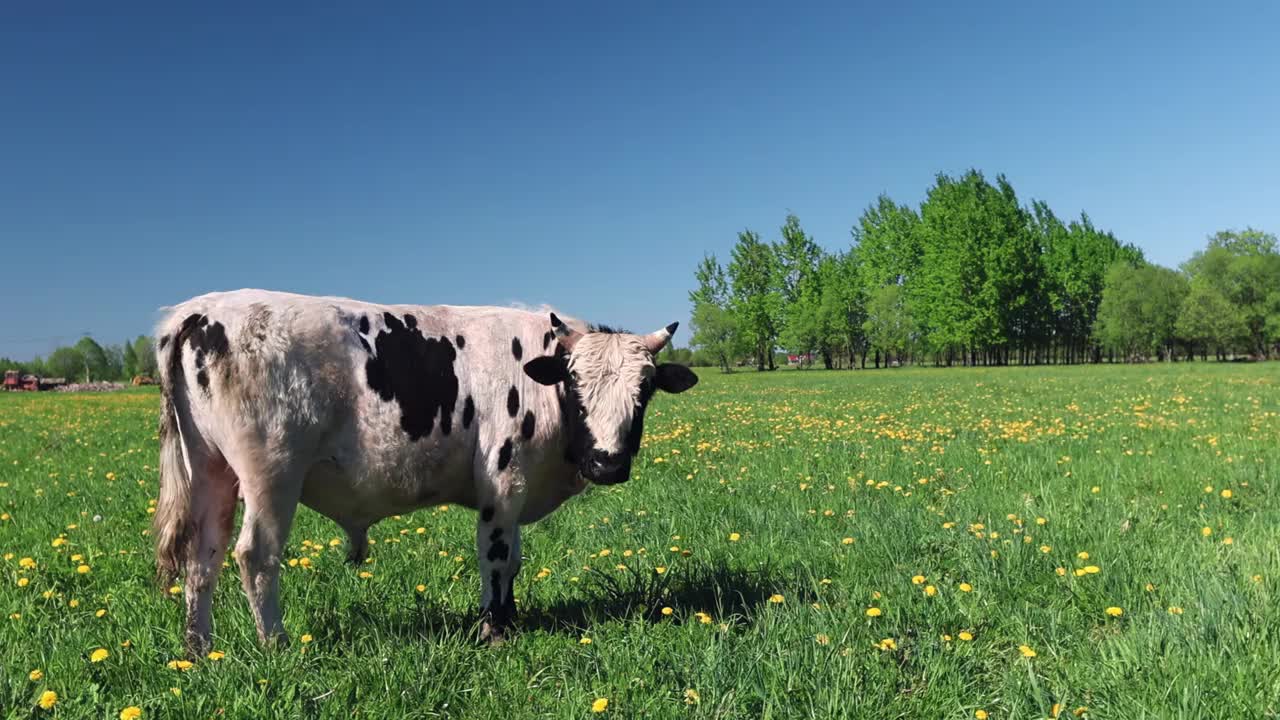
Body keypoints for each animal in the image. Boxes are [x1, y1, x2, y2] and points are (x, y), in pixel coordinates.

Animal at [152, 288, 701, 653]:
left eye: (646, 389)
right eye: (573, 382)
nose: (607, 463)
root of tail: (202, 309)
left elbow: (514, 561)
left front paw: (511, 619)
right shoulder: (504, 483)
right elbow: (495, 557)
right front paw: (494, 631)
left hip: (211, 471)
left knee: (202, 558)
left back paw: (199, 648)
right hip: (272, 474)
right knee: (255, 556)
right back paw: (277, 645)